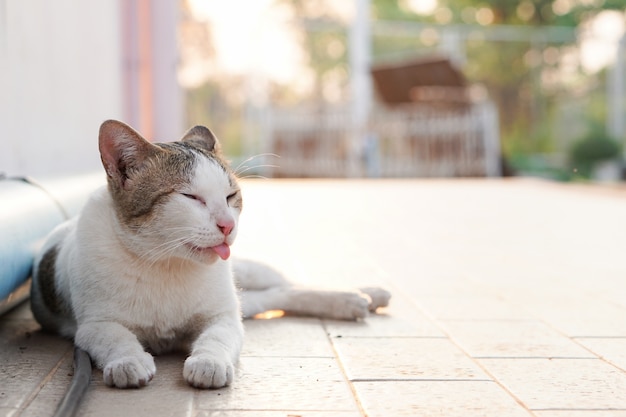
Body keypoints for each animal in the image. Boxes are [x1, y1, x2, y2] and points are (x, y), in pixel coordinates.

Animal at [30, 118, 390, 388]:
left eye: (231, 196)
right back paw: (357, 300)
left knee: (290, 284)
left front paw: (208, 363)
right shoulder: (94, 325)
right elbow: (116, 338)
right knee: (277, 294)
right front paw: (127, 361)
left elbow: (216, 338)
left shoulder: (223, 316)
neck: (165, 263)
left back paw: (361, 294)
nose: (228, 225)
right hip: (248, 299)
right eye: (191, 198)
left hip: (246, 275)